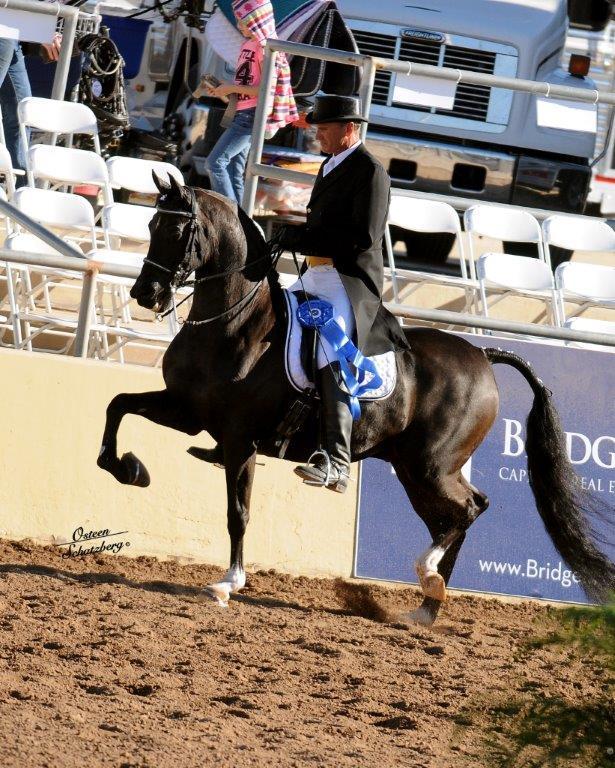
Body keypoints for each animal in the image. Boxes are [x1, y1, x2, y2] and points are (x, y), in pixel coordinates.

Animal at [97, 175, 615, 625]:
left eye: (179, 229)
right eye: (150, 225)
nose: (145, 293)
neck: (234, 324)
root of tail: (481, 354)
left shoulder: (240, 438)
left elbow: (237, 513)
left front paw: (229, 583)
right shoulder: (187, 411)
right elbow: (117, 404)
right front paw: (128, 468)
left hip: (431, 466)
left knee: (468, 509)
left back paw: (427, 579)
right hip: (414, 470)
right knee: (453, 516)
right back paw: (427, 606)